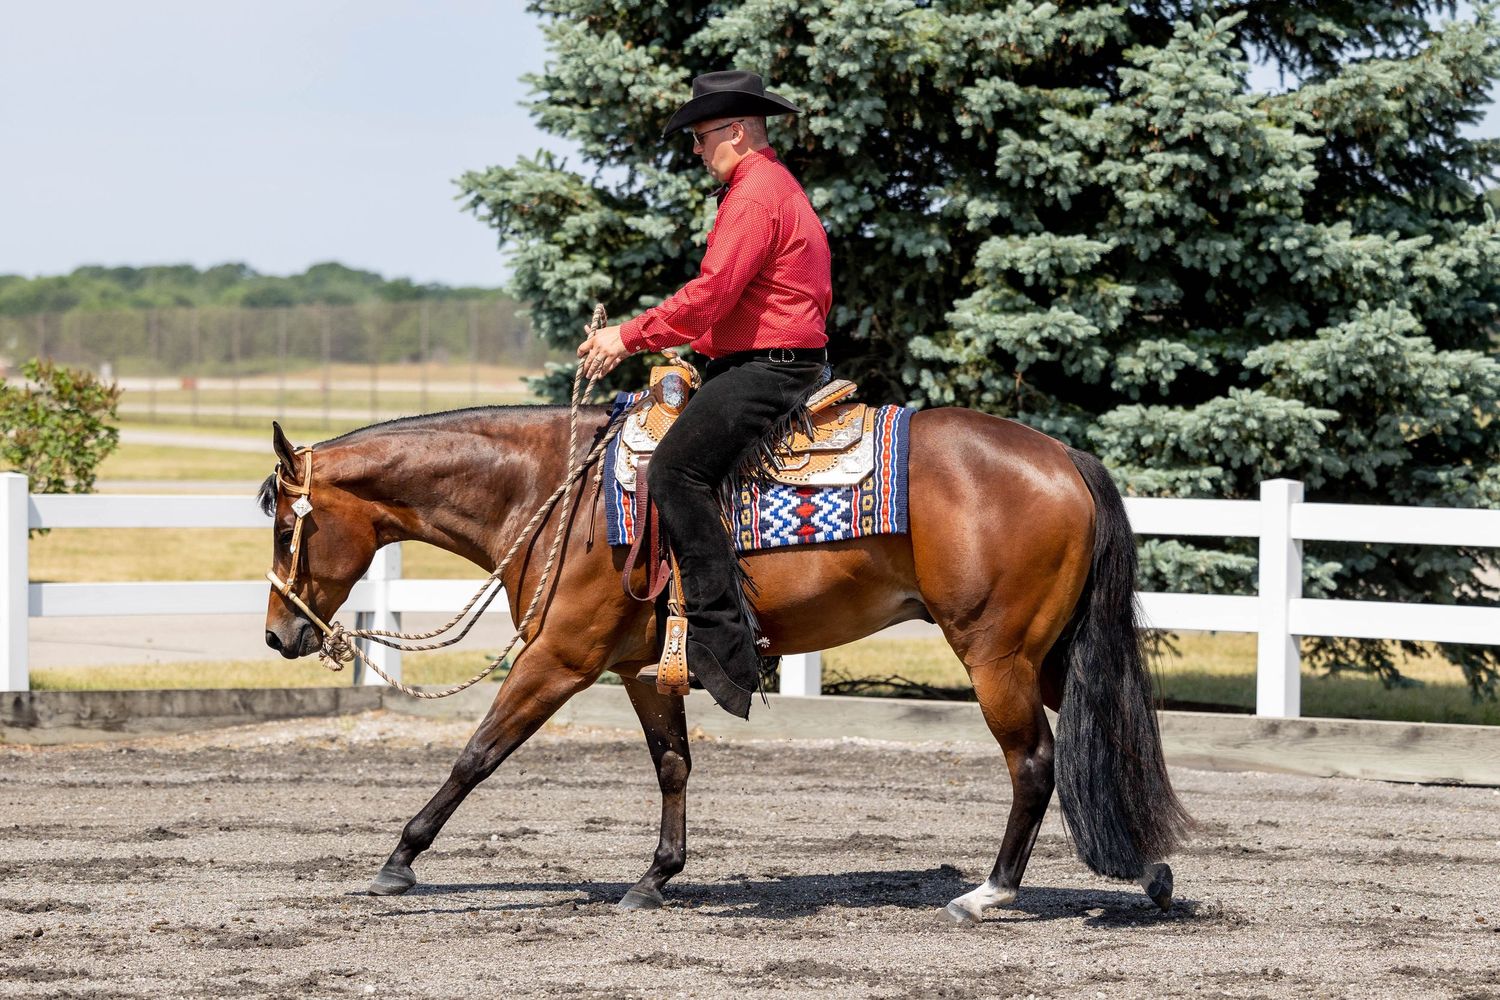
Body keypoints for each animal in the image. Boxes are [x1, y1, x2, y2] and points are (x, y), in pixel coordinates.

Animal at [259, 402, 1189, 923]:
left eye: (284, 527)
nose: (278, 636)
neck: (553, 493)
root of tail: (1064, 457)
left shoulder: (559, 658)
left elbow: (477, 755)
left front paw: (399, 861)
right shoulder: (638, 670)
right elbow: (673, 763)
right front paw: (655, 878)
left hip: (996, 653)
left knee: (1034, 763)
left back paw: (992, 893)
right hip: (1049, 653)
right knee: (1113, 738)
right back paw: (1149, 869)